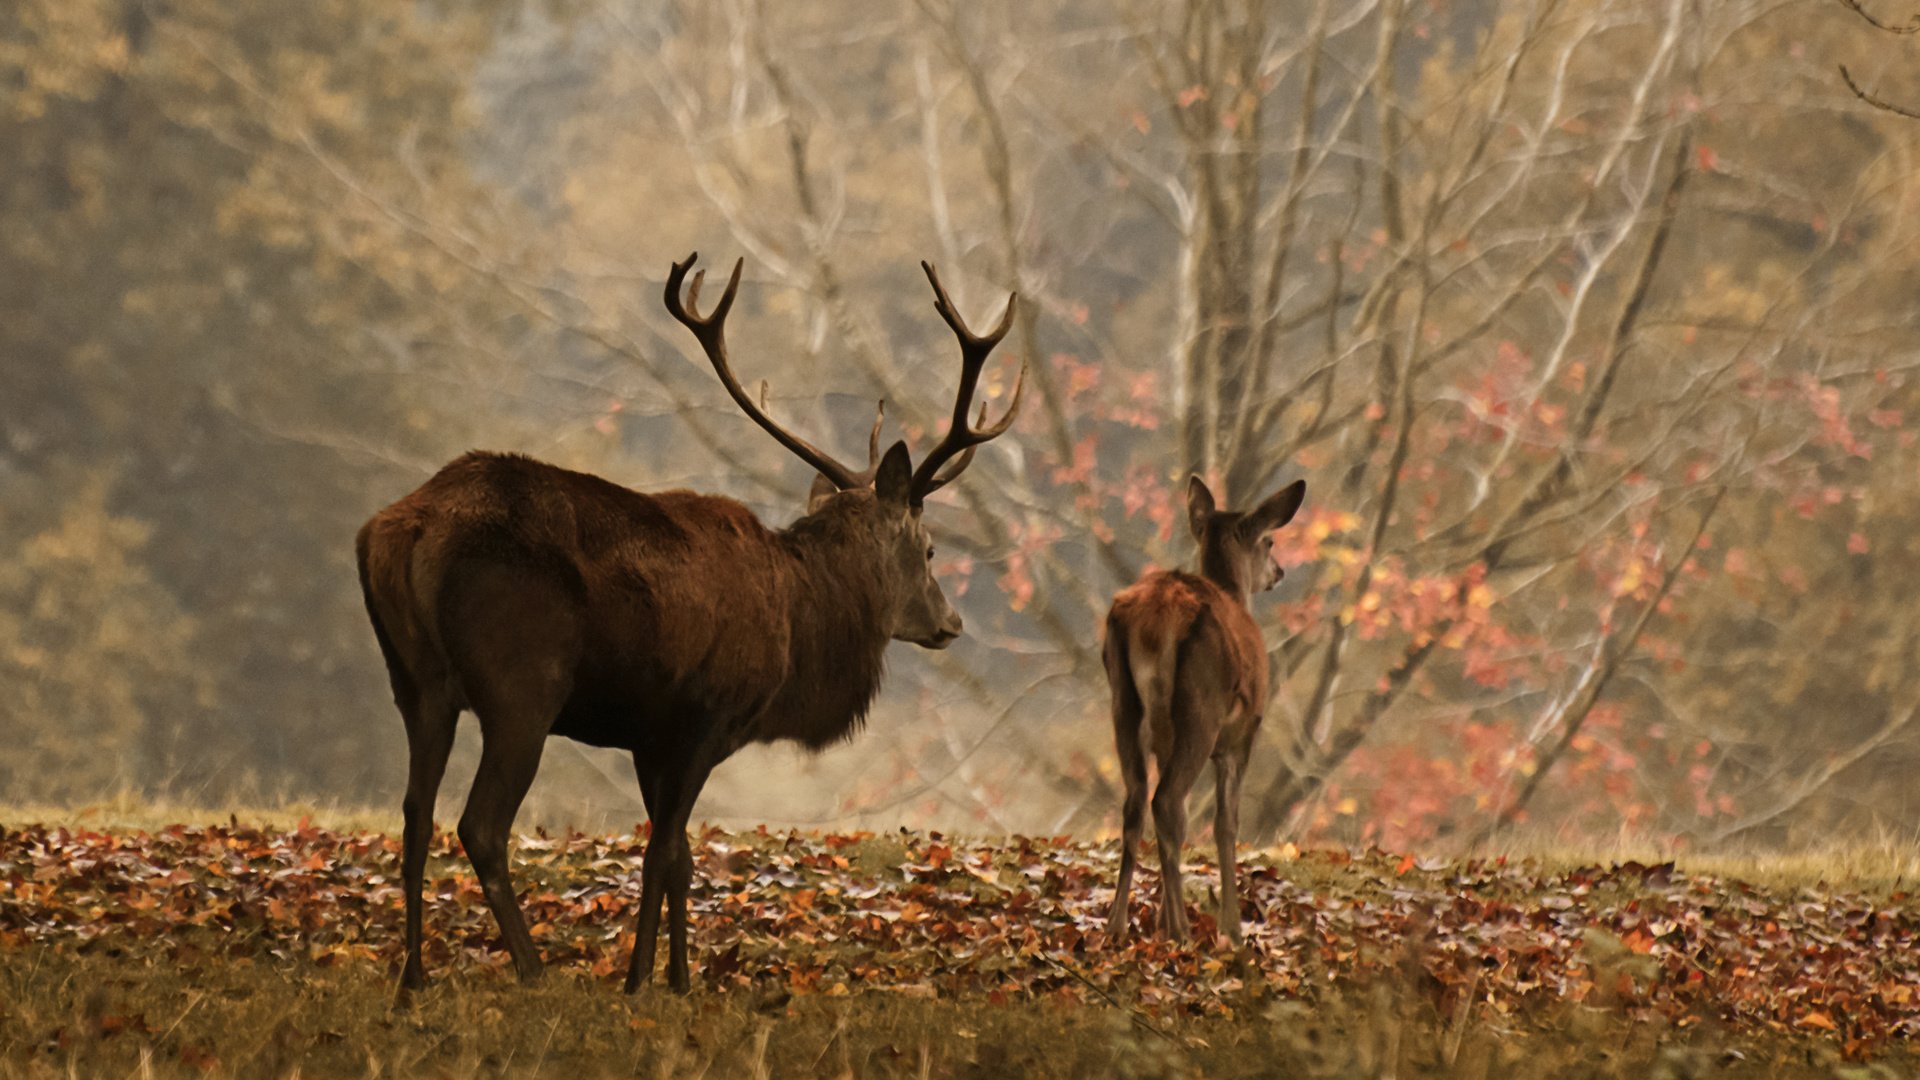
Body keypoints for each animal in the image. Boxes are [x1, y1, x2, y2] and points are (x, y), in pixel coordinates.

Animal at [1105, 474, 1313, 937]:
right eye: (1269, 541)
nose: (1279, 572)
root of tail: (1157, 618)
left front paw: (1161, 917)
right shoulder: (1243, 733)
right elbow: (1225, 824)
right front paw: (1231, 929)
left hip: (1124, 702)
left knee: (1139, 801)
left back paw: (1118, 924)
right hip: (1202, 706)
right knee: (1165, 801)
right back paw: (1182, 929)